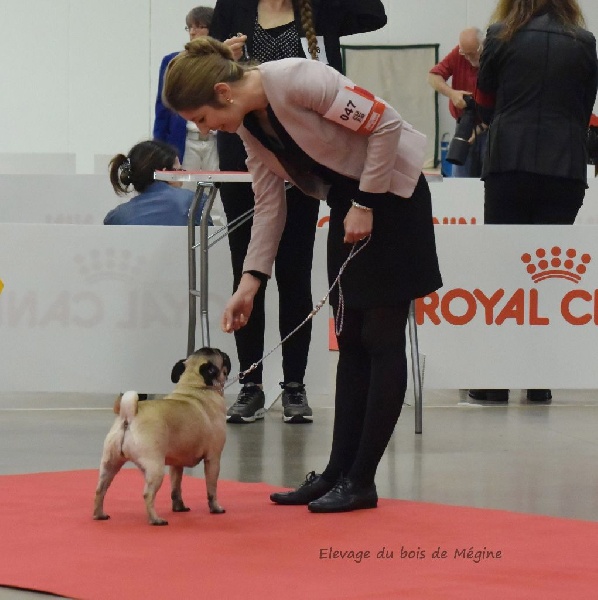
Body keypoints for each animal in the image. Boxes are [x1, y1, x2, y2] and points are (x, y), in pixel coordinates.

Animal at [94, 346, 232, 524]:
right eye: (222, 357)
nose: (225, 354)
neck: (193, 385)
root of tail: (128, 415)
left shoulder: (177, 464)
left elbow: (176, 488)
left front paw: (179, 507)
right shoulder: (213, 458)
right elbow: (211, 488)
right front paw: (216, 508)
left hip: (110, 463)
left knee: (100, 489)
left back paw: (99, 515)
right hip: (156, 468)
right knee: (148, 494)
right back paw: (156, 519)